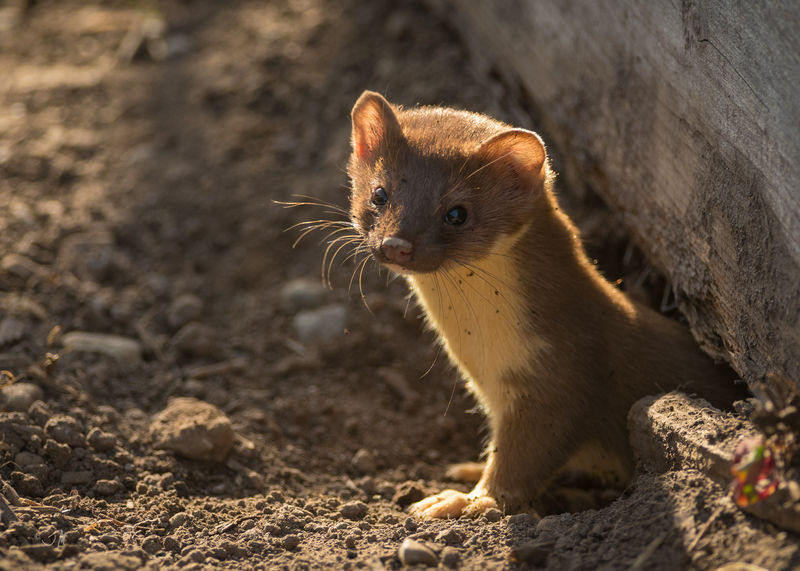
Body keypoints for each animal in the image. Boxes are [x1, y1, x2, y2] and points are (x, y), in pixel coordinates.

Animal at [340, 89, 740, 520]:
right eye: (379, 193)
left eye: (457, 213)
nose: (396, 244)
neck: (483, 356)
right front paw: (469, 470)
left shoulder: (559, 376)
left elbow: (524, 459)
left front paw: (461, 501)